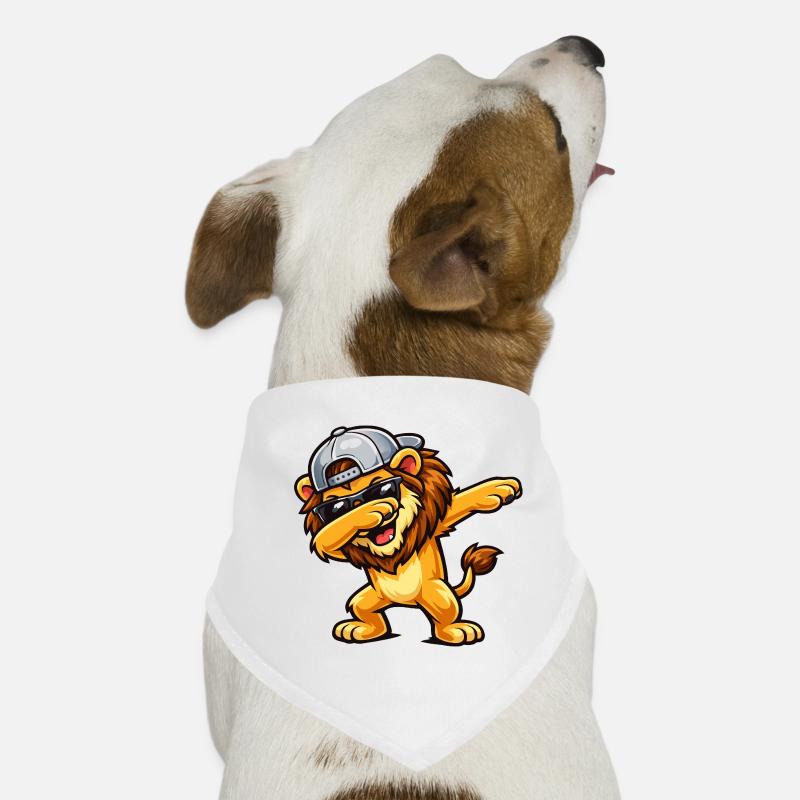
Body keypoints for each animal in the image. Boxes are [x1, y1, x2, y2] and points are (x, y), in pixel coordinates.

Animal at [294, 426, 522, 645]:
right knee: (366, 613)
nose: (360, 504)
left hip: (438, 594)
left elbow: (462, 501)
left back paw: (454, 630)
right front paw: (366, 512)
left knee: (445, 614)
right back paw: (361, 629)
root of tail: (406, 602)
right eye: (336, 508)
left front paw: (497, 488)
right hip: (367, 599)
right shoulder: (338, 547)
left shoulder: (435, 520)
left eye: (382, 489)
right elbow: (325, 538)